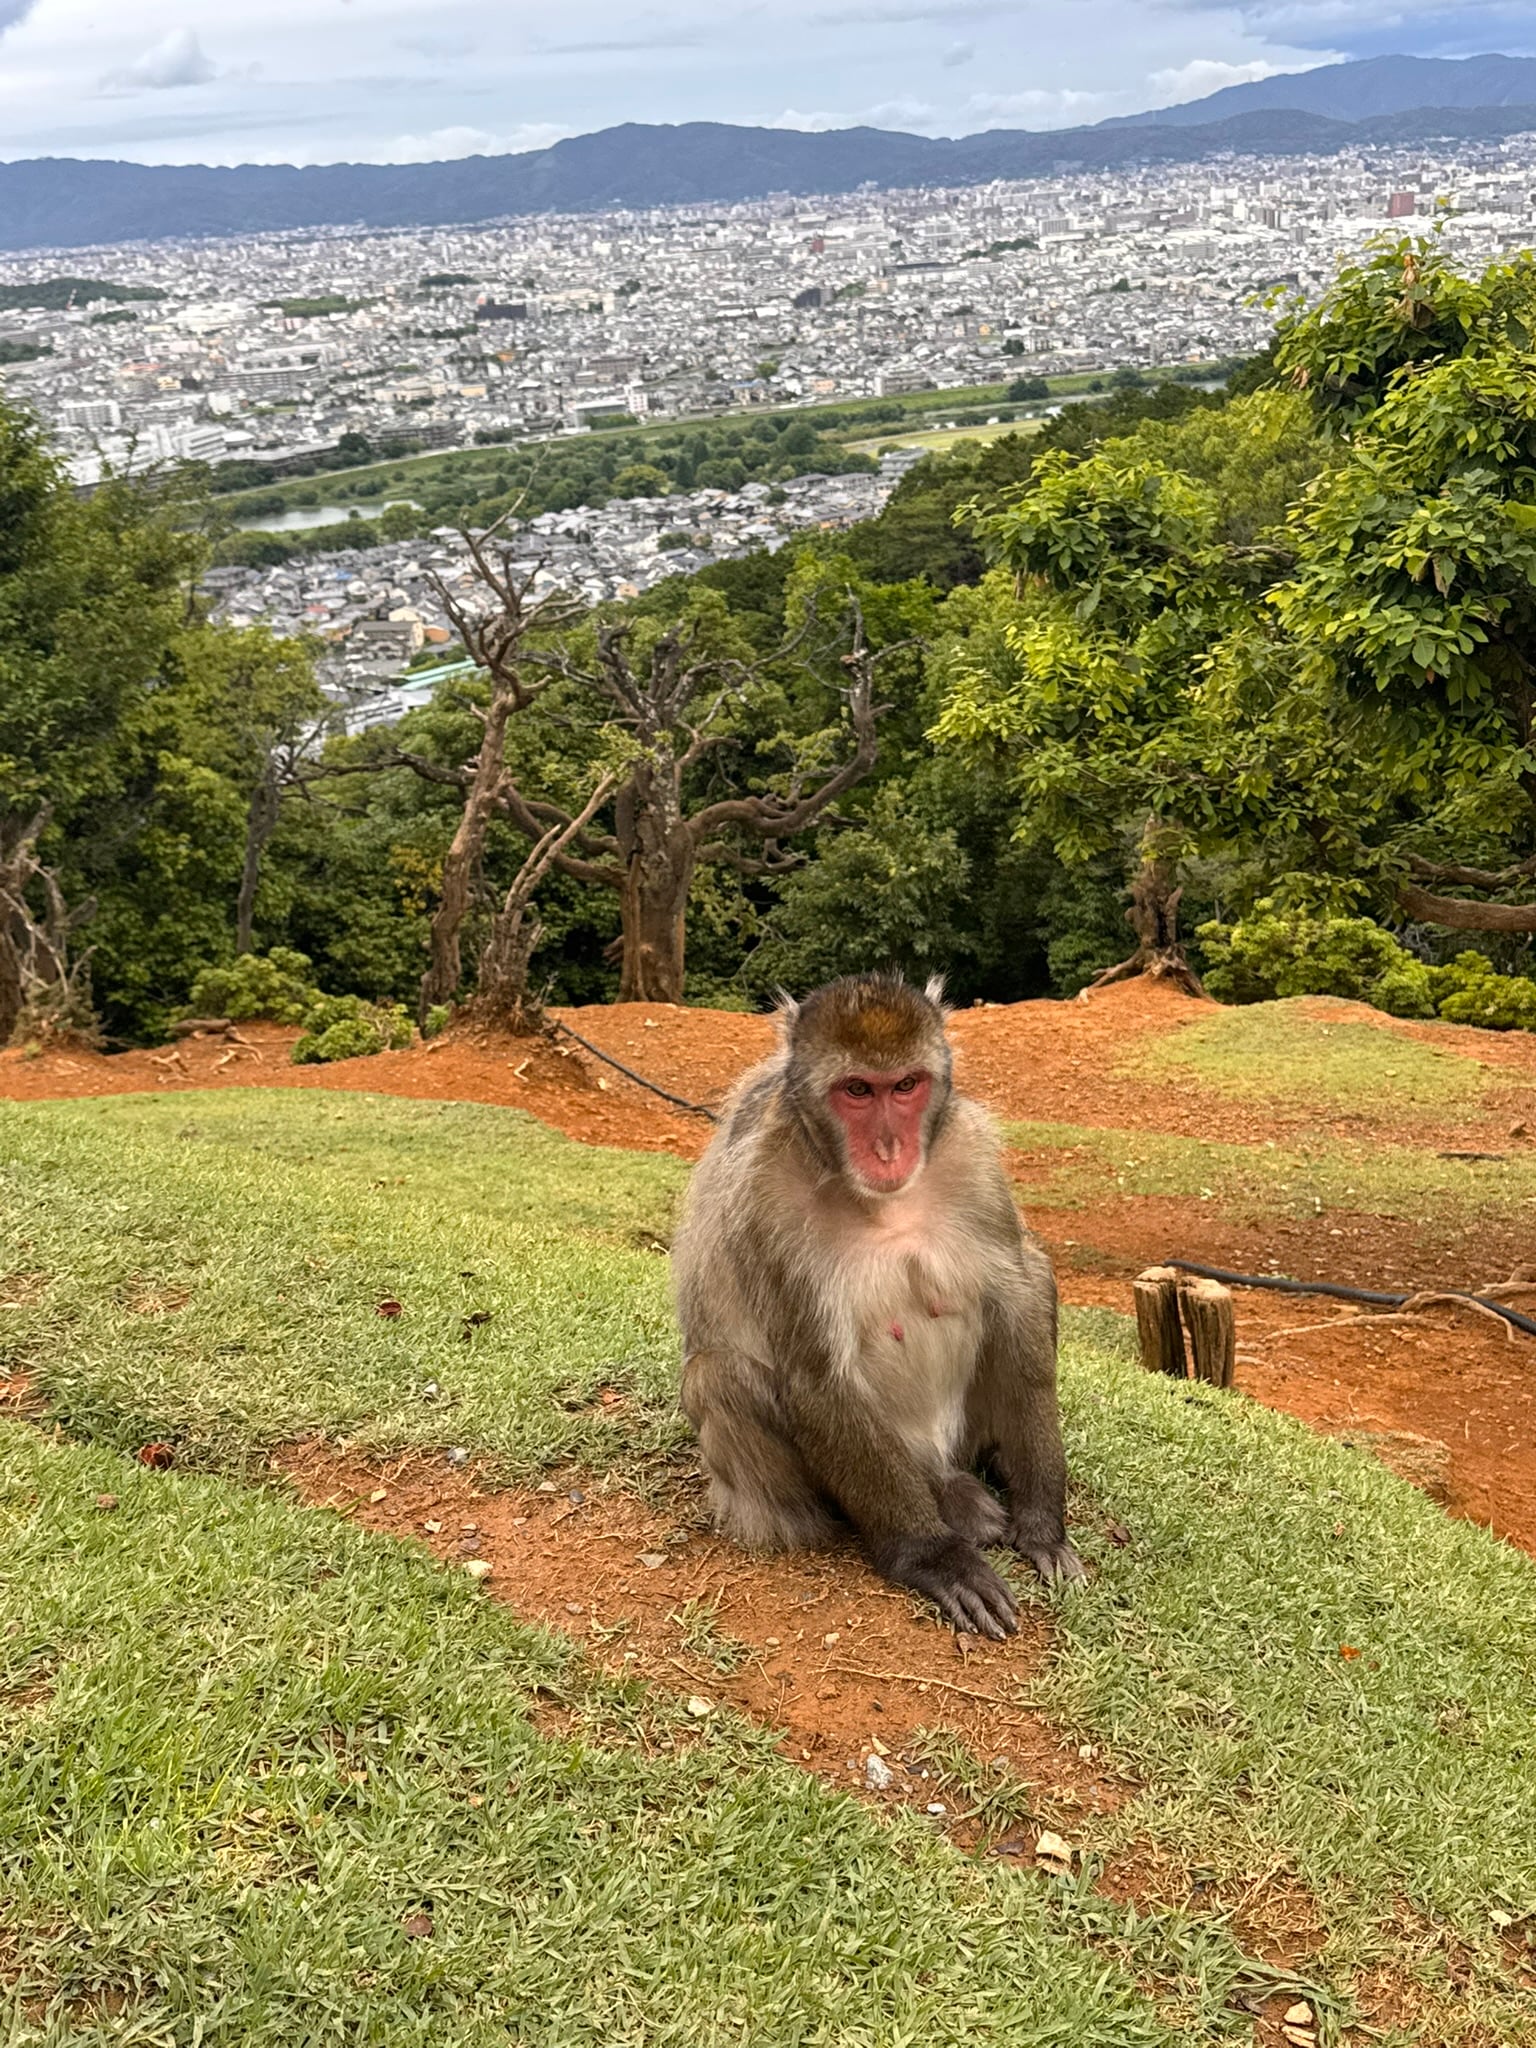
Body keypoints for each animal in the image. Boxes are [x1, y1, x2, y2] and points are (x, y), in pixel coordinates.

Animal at [672, 971, 1082, 1639]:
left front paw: (1043, 1519)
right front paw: (933, 1557)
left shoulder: (972, 1156)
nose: (890, 1148)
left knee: (1038, 1275)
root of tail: (933, 1462)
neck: (882, 1203)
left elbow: (1019, 1296)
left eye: (907, 1086)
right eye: (857, 1091)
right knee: (719, 1374)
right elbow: (816, 1379)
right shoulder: (768, 1202)